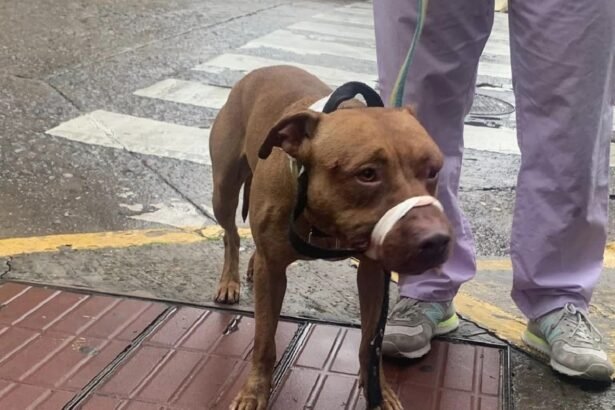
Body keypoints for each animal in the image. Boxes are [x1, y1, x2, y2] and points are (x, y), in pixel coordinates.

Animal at [209, 65, 452, 409]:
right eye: (367, 174)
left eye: (433, 171)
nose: (437, 241)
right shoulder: (273, 274)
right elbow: (264, 340)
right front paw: (254, 391)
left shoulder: (373, 274)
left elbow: (370, 342)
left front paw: (379, 391)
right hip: (224, 190)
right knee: (230, 234)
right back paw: (228, 281)